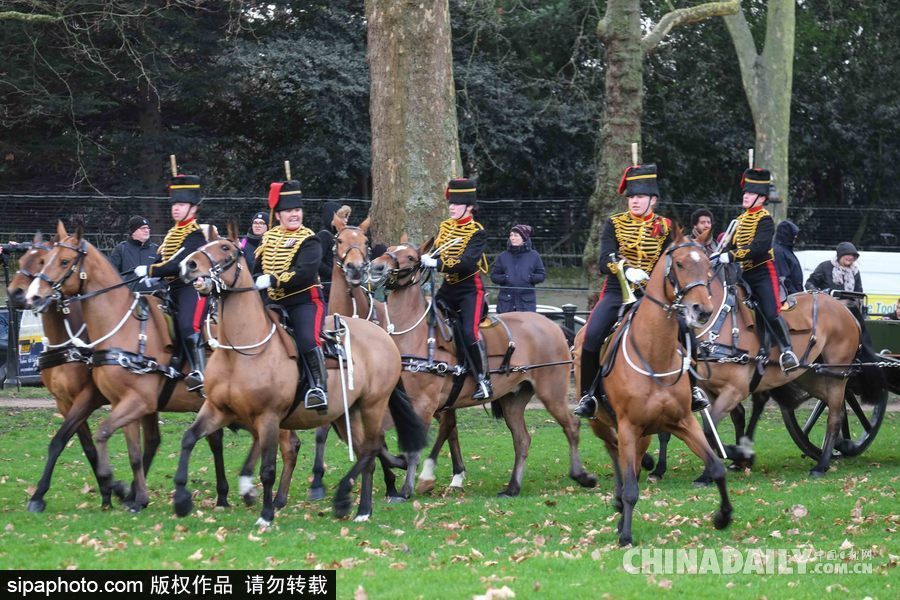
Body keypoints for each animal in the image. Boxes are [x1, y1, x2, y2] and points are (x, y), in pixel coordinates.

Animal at [25, 223, 236, 512]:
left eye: (64, 261)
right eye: (43, 261)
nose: (31, 296)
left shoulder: (125, 400)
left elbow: (98, 436)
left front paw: (114, 486)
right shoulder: (112, 401)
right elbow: (125, 450)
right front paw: (130, 495)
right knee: (210, 439)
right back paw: (221, 495)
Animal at [176, 230, 428, 524]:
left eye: (226, 248)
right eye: (205, 245)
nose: (189, 265)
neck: (240, 352)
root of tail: (384, 337)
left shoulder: (269, 418)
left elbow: (267, 469)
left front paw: (266, 514)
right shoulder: (218, 409)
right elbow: (189, 439)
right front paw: (182, 499)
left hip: (372, 405)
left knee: (371, 447)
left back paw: (354, 503)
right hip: (346, 414)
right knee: (367, 450)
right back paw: (358, 505)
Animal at [370, 238, 600, 496]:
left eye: (410, 257)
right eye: (390, 249)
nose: (376, 267)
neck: (416, 334)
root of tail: (552, 325)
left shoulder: (426, 404)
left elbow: (417, 445)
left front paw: (411, 485)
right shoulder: (399, 402)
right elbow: (379, 436)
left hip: (552, 392)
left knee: (571, 425)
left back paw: (581, 475)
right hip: (513, 399)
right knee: (522, 439)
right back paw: (512, 487)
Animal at [576, 237, 732, 548]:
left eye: (708, 265)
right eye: (680, 264)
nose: (703, 310)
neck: (654, 354)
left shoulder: (684, 422)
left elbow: (717, 468)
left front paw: (723, 517)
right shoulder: (628, 426)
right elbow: (631, 488)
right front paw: (626, 535)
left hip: (643, 433)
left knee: (631, 460)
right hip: (600, 421)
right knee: (613, 450)